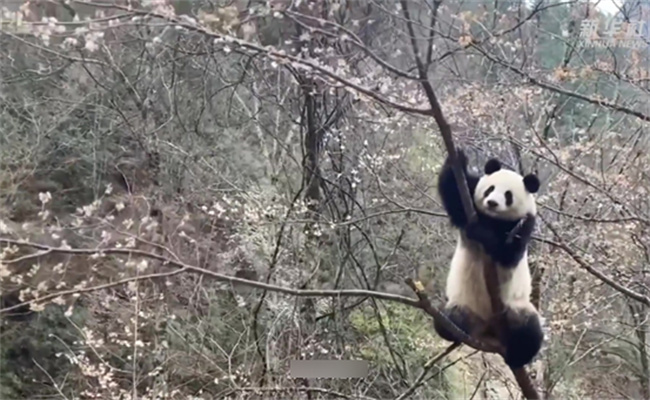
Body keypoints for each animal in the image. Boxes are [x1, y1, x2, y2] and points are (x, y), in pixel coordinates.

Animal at [432, 149, 544, 368]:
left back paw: (518, 356)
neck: (494, 219)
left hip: (516, 309)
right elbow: (455, 198)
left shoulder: (525, 224)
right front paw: (458, 158)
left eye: (508, 195)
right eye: (490, 189)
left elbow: (507, 253)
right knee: (447, 318)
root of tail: (489, 331)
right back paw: (452, 329)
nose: (492, 203)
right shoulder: (470, 200)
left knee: (530, 331)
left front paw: (482, 232)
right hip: (466, 305)